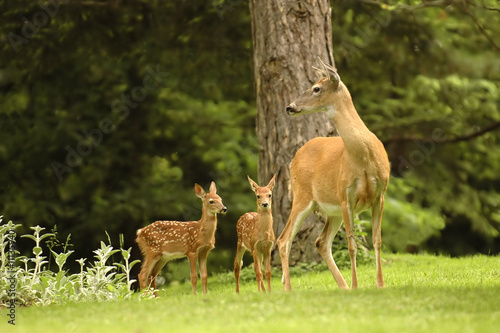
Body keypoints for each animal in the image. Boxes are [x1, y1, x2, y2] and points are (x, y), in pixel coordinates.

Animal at [278, 57, 390, 290]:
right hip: (302, 196)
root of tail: (295, 157)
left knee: (321, 242)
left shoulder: (380, 194)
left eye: (316, 88)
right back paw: (288, 288)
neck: (363, 157)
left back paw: (343, 287)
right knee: (283, 239)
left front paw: (380, 284)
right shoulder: (345, 195)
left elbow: (377, 240)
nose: (290, 107)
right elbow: (352, 245)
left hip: (332, 211)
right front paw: (357, 286)